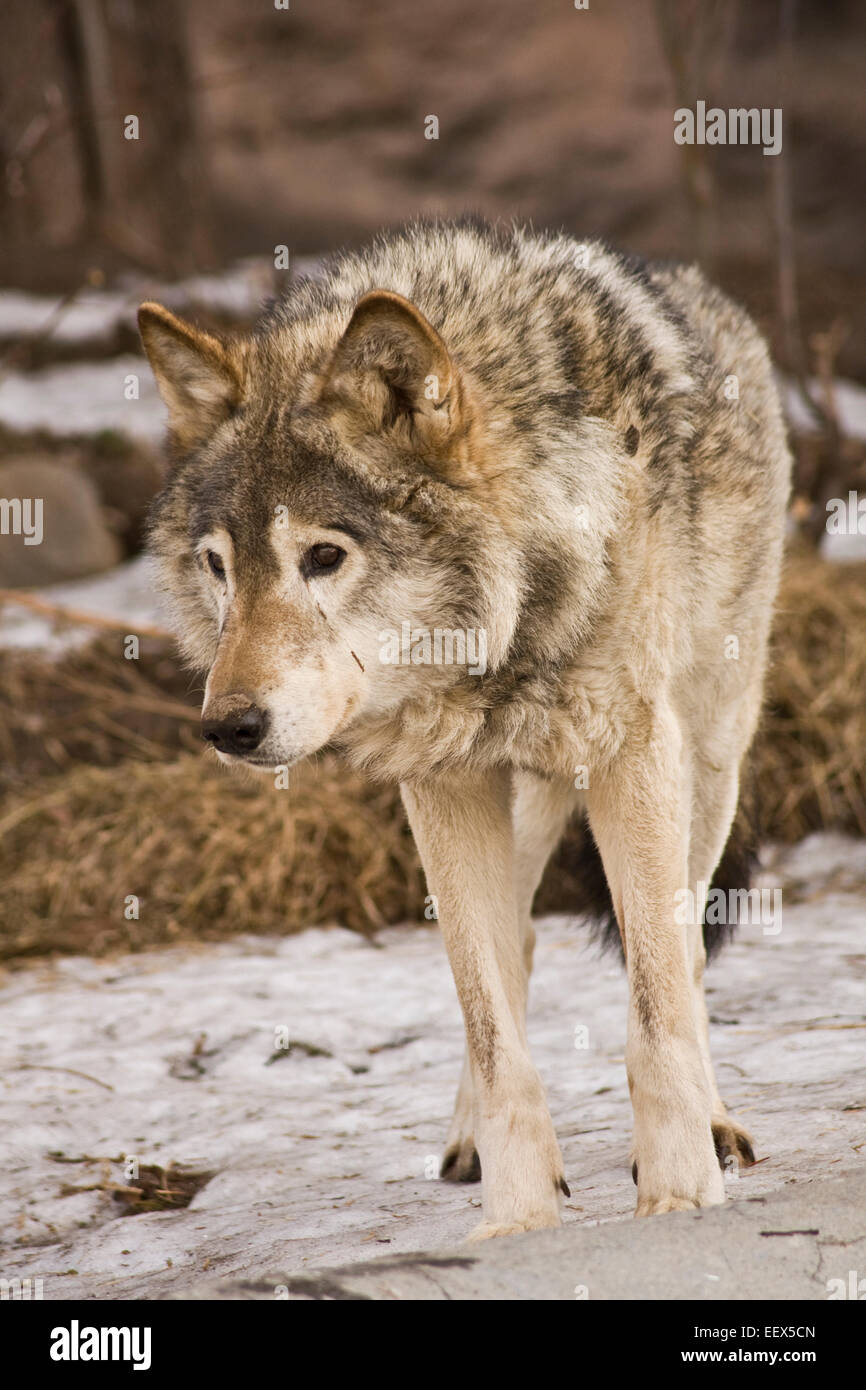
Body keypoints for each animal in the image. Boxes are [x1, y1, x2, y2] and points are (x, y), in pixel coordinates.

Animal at [140, 216, 795, 1239]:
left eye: (323, 557)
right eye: (219, 567)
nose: (229, 727)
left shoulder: (632, 755)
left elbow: (656, 1005)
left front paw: (679, 1195)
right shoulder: (443, 784)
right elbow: (492, 1030)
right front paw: (517, 1223)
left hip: (709, 754)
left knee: (685, 946)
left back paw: (715, 1126)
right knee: (517, 947)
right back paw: (470, 1148)